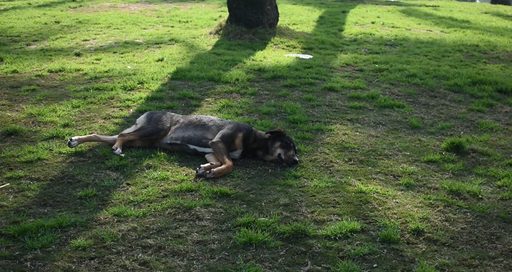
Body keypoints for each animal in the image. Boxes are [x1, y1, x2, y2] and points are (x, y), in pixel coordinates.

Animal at [68, 111, 300, 178]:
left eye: (295, 149)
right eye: (289, 145)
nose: (297, 161)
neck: (253, 141)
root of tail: (146, 113)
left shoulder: (213, 151)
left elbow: (220, 162)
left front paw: (206, 169)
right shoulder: (218, 142)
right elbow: (230, 165)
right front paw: (214, 173)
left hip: (141, 141)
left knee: (105, 136)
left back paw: (76, 140)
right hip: (153, 130)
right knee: (121, 137)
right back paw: (117, 148)